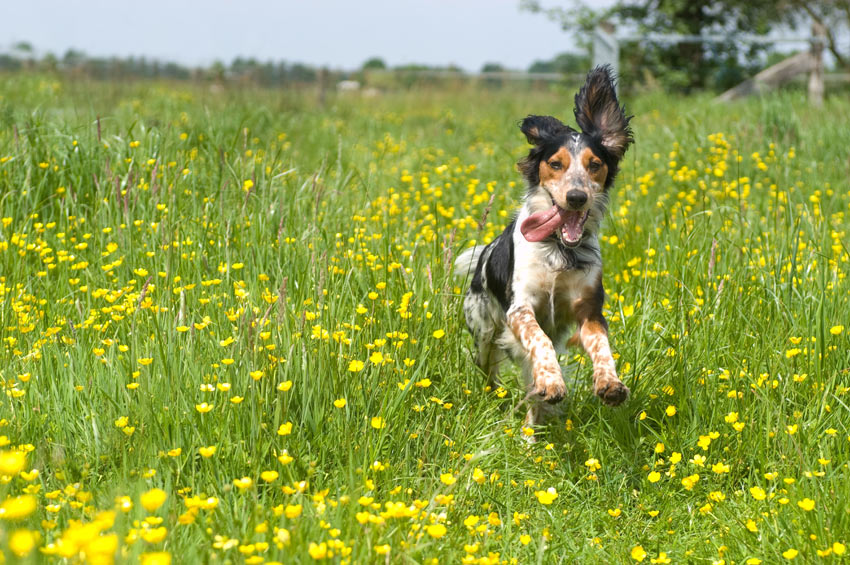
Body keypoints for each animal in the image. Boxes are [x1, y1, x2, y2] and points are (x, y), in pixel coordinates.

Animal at [458, 65, 628, 428]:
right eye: (555, 163)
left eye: (595, 164)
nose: (576, 197)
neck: (558, 251)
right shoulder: (520, 309)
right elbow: (541, 340)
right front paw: (552, 382)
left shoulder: (589, 309)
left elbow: (601, 345)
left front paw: (609, 383)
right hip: (483, 331)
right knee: (490, 368)